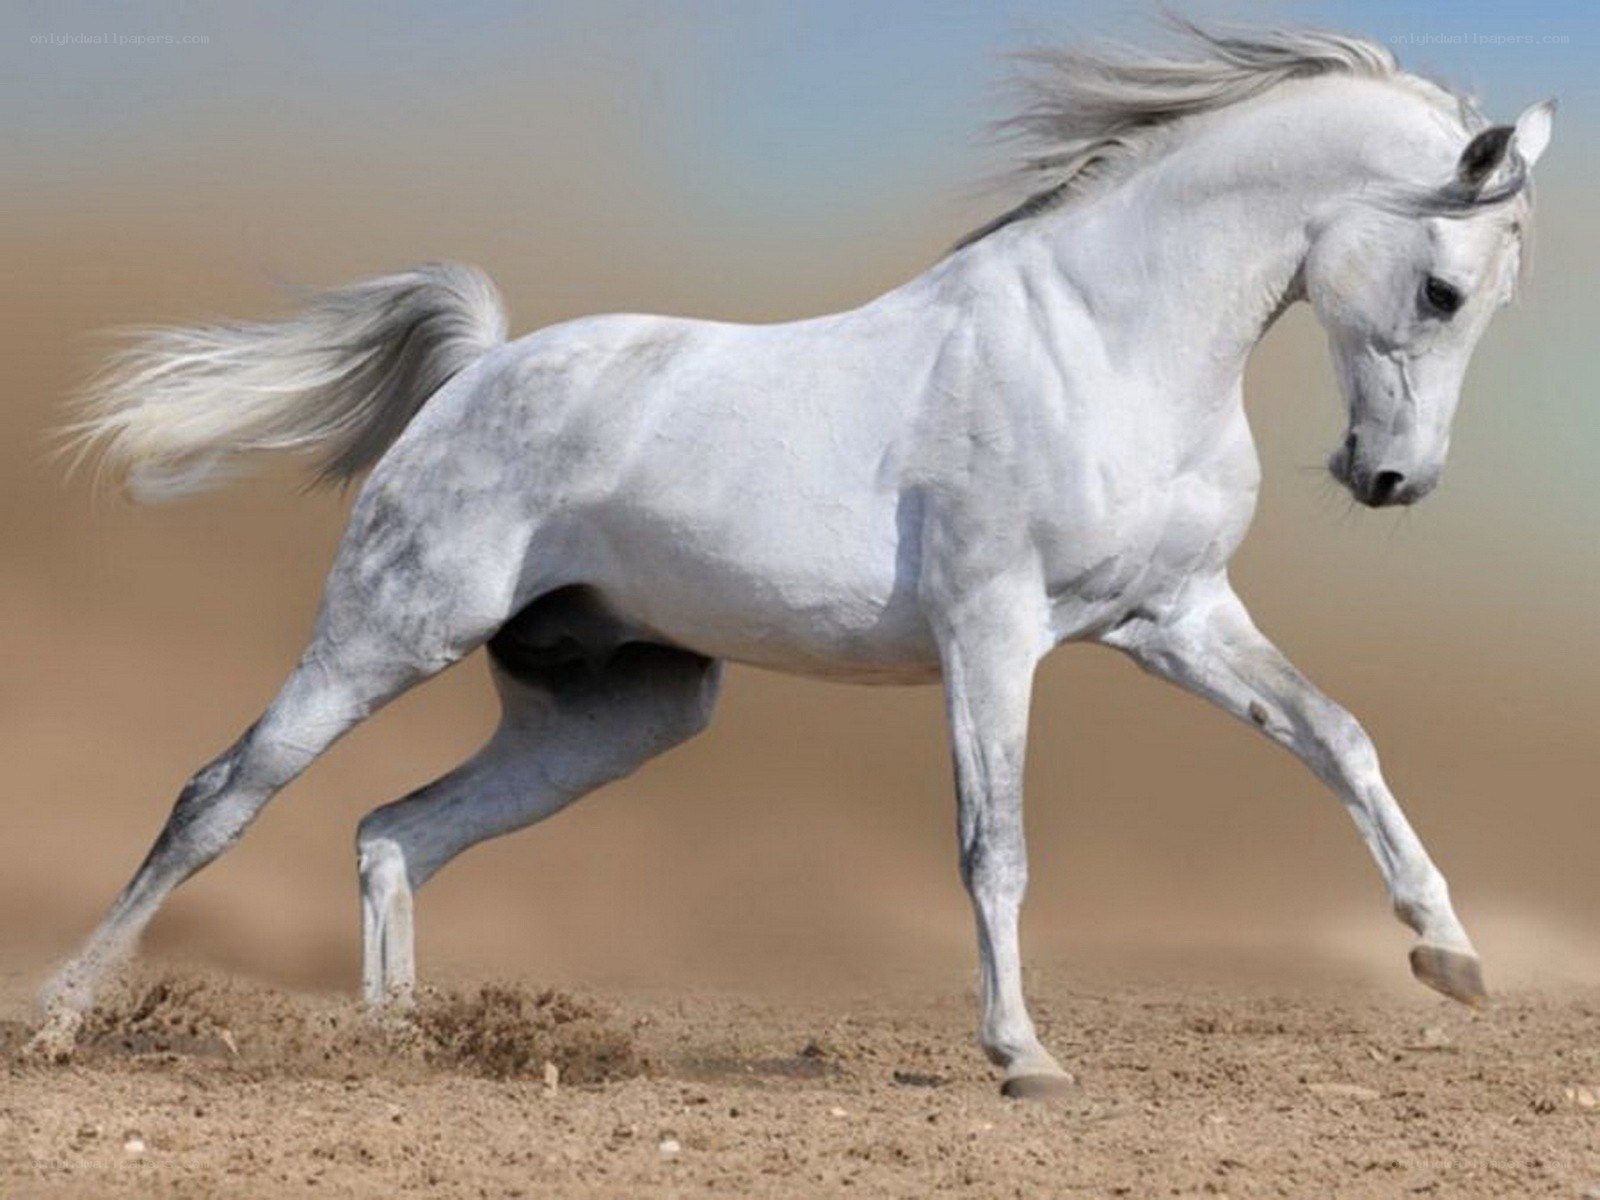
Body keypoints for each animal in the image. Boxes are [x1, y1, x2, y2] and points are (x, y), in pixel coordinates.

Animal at [34, 24, 1553, 1097]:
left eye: (1490, 298)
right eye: (1442, 289)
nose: (1391, 480)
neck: (1106, 341)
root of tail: (478, 372)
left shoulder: (1171, 617)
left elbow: (1338, 738)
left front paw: (1450, 957)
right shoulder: (991, 631)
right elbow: (995, 845)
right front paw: (1022, 1057)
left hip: (620, 711)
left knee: (395, 832)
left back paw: (399, 1048)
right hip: (386, 632)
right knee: (219, 799)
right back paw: (60, 1021)